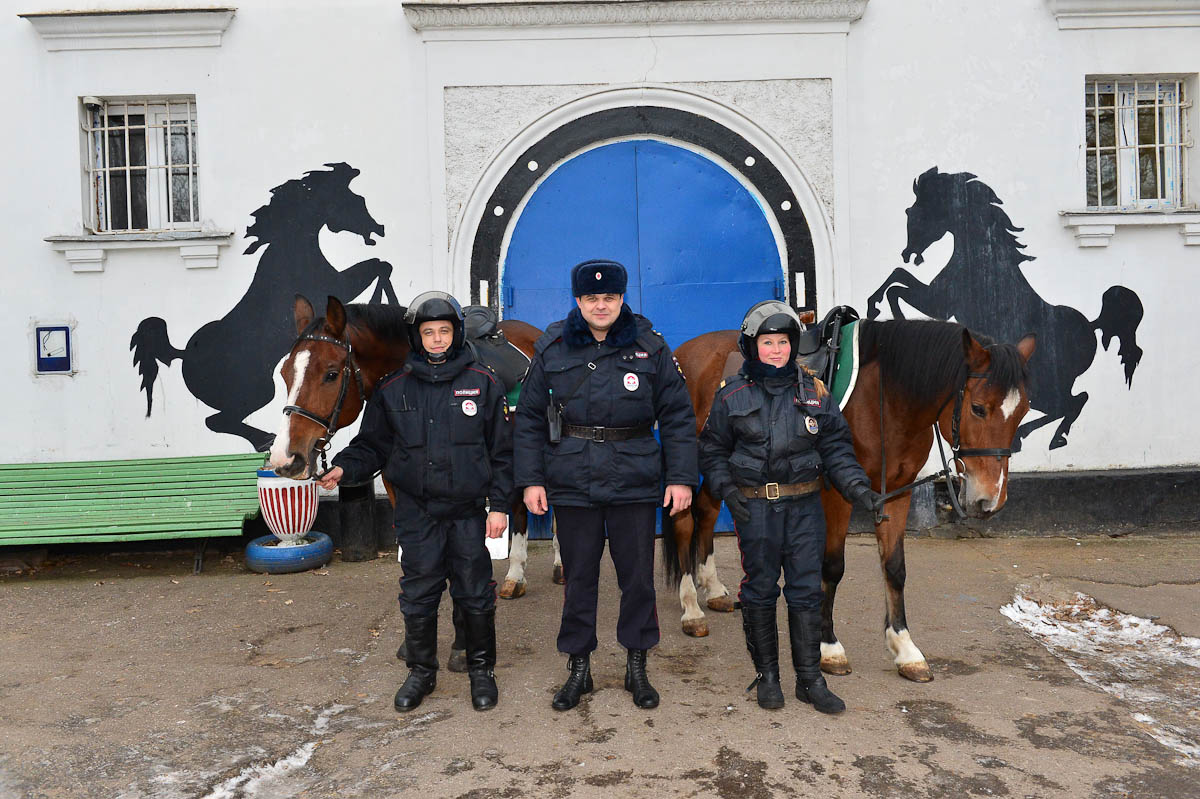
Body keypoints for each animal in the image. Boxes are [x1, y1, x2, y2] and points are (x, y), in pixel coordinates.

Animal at [672, 316, 1036, 676]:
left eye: (1023, 412)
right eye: (978, 408)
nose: (990, 499)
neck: (885, 399)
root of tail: (685, 350)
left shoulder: (896, 493)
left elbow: (895, 567)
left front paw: (905, 648)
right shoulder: (837, 492)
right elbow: (832, 566)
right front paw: (828, 647)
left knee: (707, 510)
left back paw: (713, 589)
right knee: (684, 521)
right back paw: (691, 609)